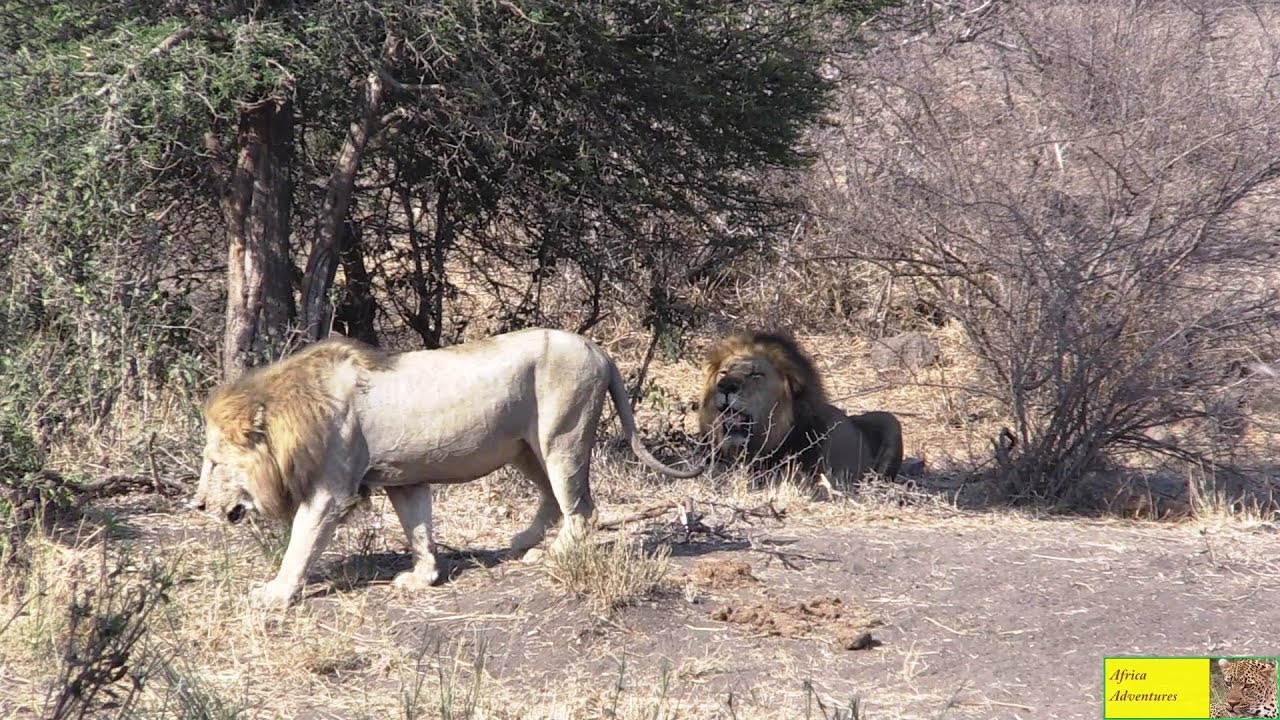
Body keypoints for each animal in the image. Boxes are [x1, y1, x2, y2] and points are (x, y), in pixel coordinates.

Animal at [189, 328, 706, 609]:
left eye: (214, 463)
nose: (195, 505)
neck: (293, 414)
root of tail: (598, 349)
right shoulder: (404, 479)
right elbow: (418, 529)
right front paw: (423, 578)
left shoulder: (330, 492)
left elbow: (300, 545)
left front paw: (275, 594)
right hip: (525, 448)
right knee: (555, 500)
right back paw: (521, 542)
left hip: (563, 436)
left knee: (582, 507)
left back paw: (552, 555)